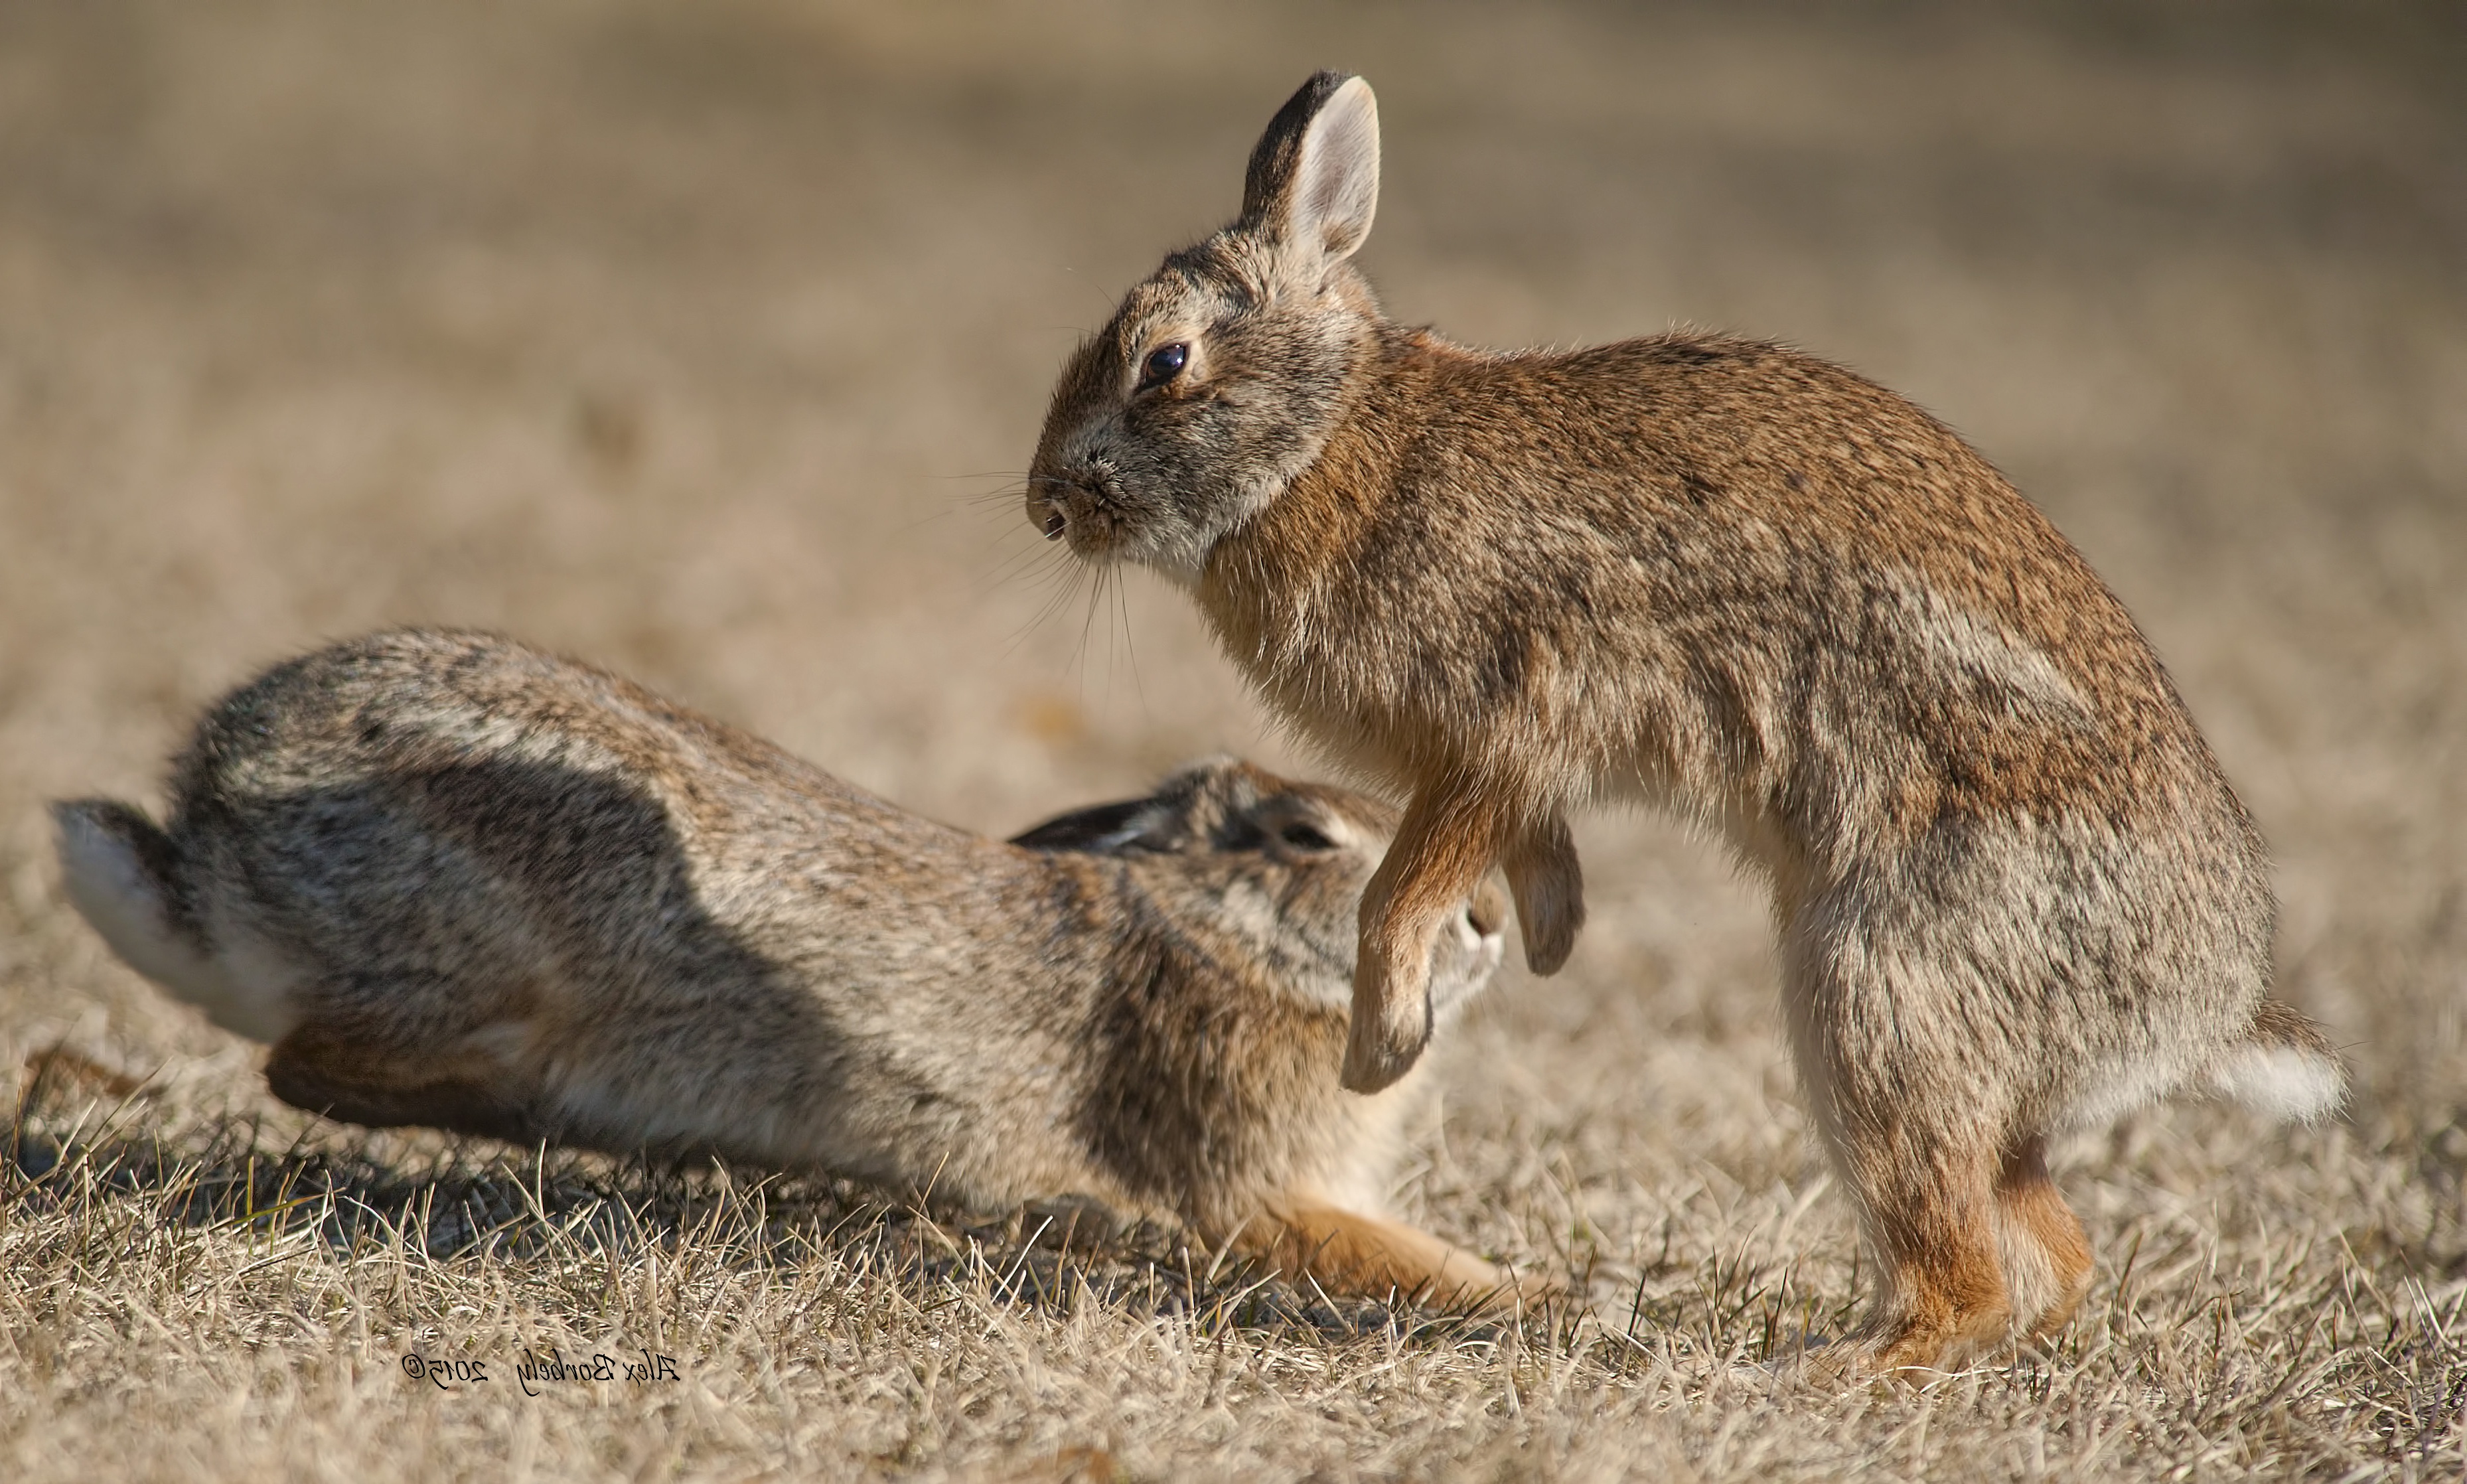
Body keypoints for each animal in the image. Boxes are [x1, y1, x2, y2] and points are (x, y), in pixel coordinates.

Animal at [52, 623, 1519, 1301]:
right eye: (1306, 836)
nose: (1494, 918)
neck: (1210, 919)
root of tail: (215, 833)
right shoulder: (1250, 1177)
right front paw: (1527, 1294)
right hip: (497, 949)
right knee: (314, 1066)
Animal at [1031, 69, 2338, 1361]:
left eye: (1165, 362)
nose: (1046, 503)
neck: (1324, 445)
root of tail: (2203, 1010)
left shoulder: (1500, 723)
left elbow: (1398, 897)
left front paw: (1382, 1047)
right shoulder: (1517, 773)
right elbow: (1529, 853)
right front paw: (1552, 941)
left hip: (1876, 984)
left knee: (1962, 1271)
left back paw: (1840, 1370)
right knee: (2046, 1249)